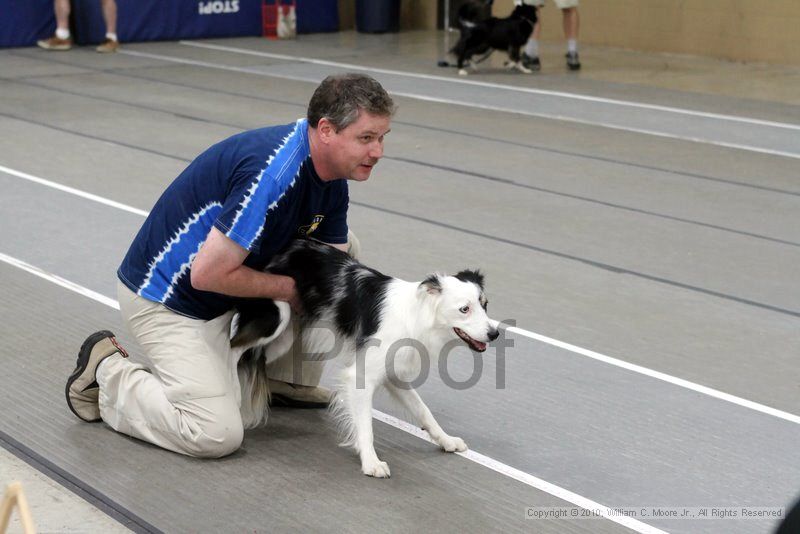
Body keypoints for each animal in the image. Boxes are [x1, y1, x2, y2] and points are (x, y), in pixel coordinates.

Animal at [228, 241, 496, 480]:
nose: (495, 333)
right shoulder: (361, 376)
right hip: (276, 318)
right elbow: (366, 426)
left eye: (485, 305)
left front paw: (446, 440)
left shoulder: (394, 373)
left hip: (284, 338)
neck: (417, 315)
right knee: (233, 350)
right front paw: (371, 462)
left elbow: (423, 410)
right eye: (464, 309)